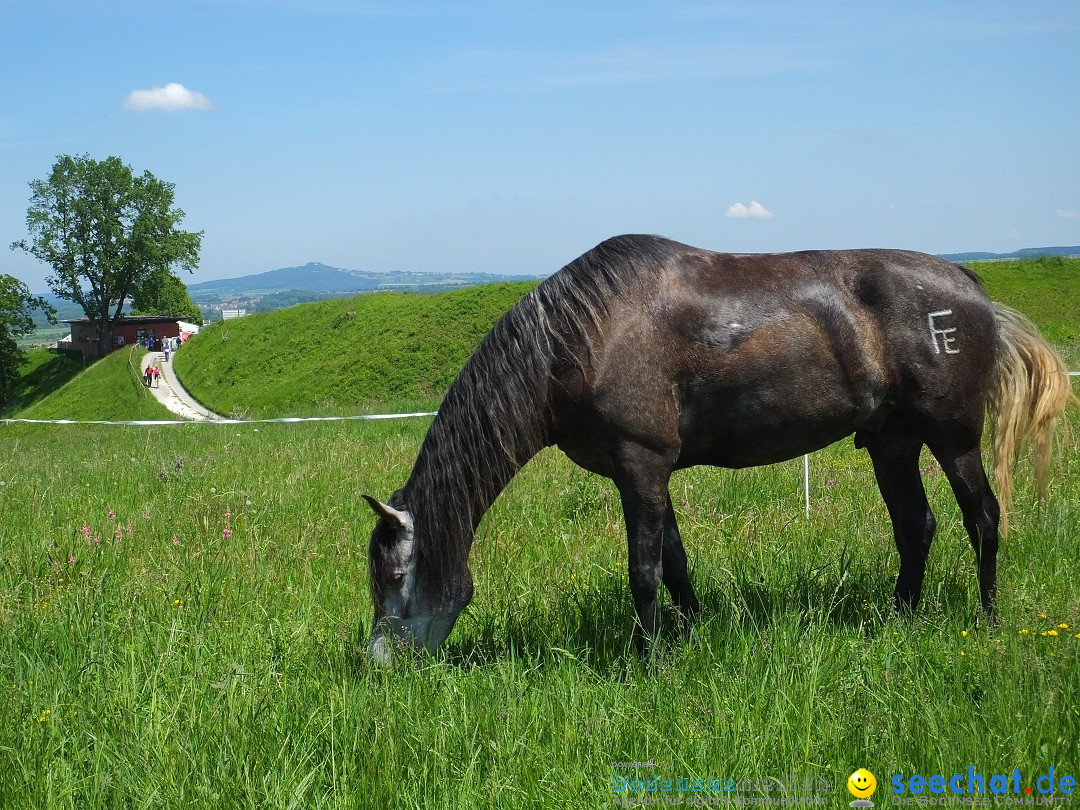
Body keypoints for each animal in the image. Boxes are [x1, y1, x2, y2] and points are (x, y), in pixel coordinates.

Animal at [365, 231, 1080, 660]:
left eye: (395, 577)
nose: (381, 665)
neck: (579, 340)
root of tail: (970, 283)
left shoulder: (641, 466)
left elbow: (644, 572)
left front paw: (647, 662)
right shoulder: (648, 474)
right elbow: (676, 566)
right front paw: (688, 640)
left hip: (952, 438)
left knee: (982, 518)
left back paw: (986, 620)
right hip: (891, 442)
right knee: (916, 526)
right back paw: (900, 618)